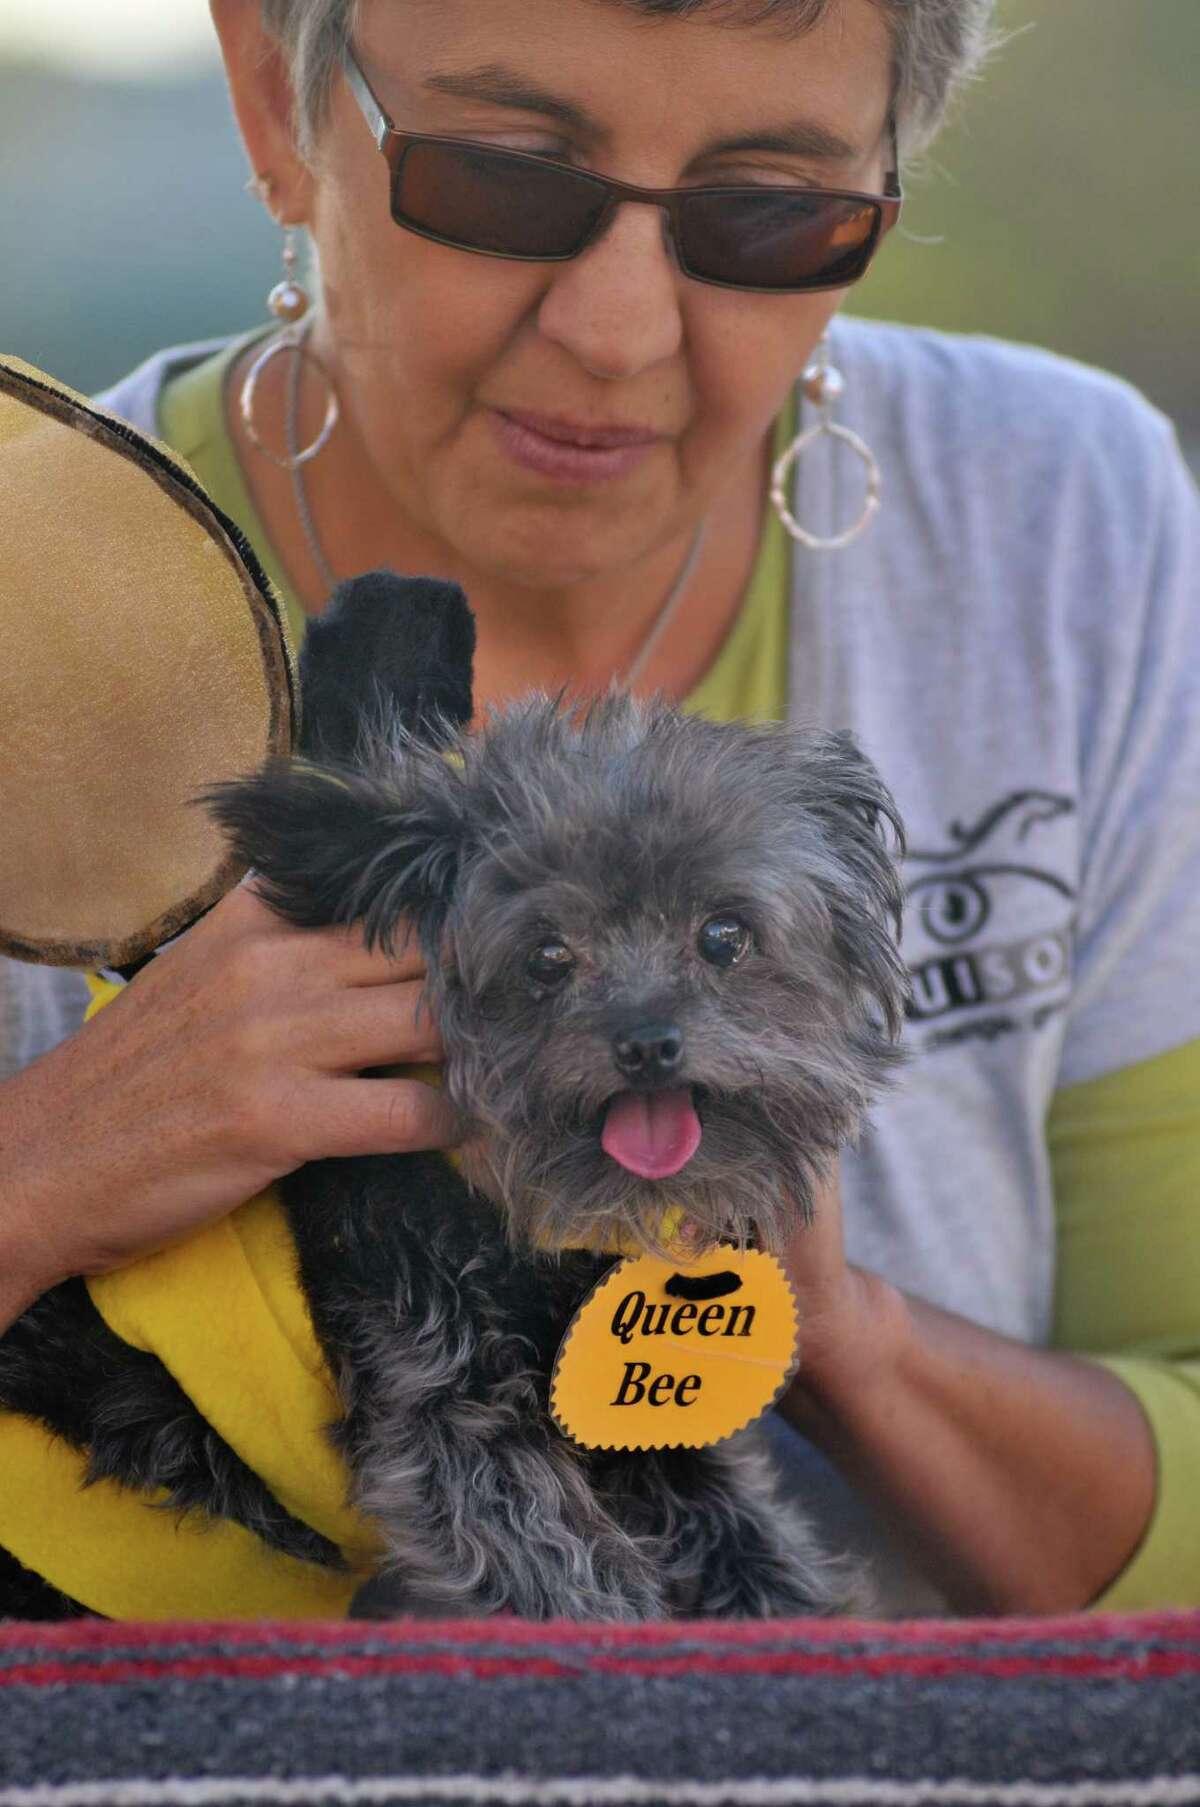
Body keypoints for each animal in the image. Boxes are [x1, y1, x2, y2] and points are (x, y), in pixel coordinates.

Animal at [0, 574, 903, 1626]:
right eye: (546, 955)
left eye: (724, 935)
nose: (647, 1042)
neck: (540, 1229)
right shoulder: (450, 1412)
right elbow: (568, 1578)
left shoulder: (647, 1438)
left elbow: (752, 1552)